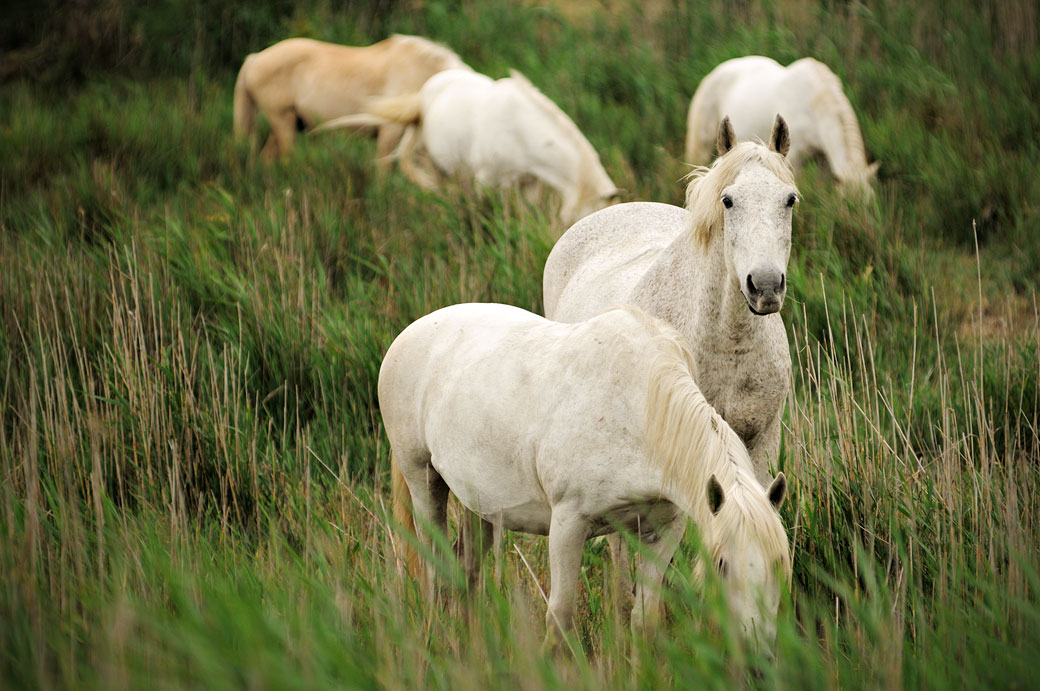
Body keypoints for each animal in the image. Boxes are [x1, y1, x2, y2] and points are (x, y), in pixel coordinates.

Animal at [382, 301, 786, 653]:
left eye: (779, 563)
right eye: (722, 564)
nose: (757, 652)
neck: (638, 409)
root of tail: (406, 336)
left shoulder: (663, 532)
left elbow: (644, 620)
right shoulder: (568, 526)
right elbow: (559, 620)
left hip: (478, 503)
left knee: (465, 572)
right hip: (423, 482)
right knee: (434, 573)